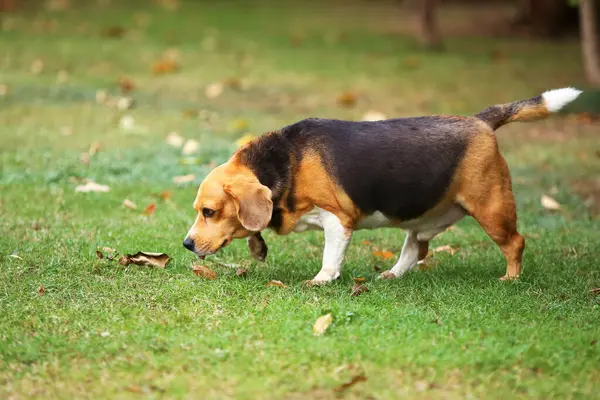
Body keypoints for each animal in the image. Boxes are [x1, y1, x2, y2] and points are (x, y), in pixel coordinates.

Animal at [182, 89, 580, 286]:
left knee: (515, 242)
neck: (282, 160)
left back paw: (510, 279)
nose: (185, 244)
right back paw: (393, 274)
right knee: (416, 249)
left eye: (209, 212)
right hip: (424, 220)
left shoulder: (337, 219)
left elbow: (331, 256)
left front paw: (323, 279)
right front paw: (257, 245)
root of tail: (479, 121)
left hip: (491, 208)